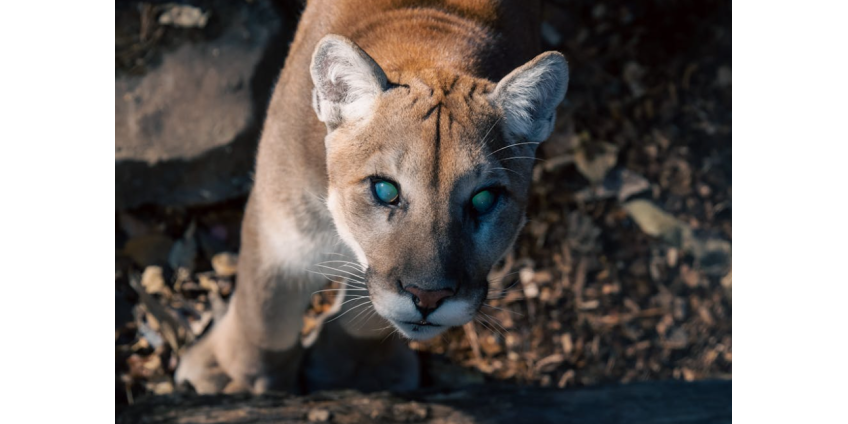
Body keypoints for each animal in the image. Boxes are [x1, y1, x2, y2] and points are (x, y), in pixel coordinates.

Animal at [176, 0, 568, 396]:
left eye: (484, 199)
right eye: (385, 190)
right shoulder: (283, 227)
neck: (434, 48)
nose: (429, 297)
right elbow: (267, 309)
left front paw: (357, 375)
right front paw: (234, 378)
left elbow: (366, 319)